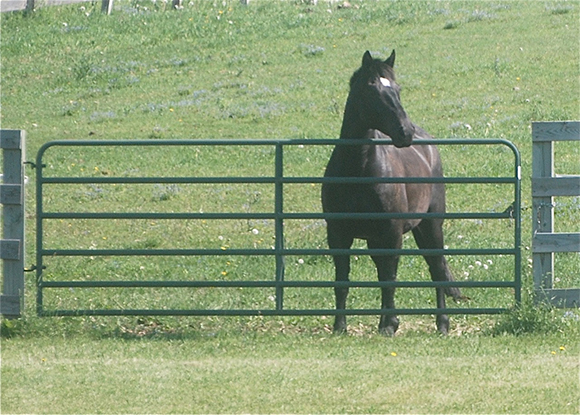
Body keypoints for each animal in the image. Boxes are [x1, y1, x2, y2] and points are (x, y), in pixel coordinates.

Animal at [322, 50, 462, 336]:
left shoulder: (392, 233)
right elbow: (342, 280)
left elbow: (389, 278)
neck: (358, 170)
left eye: (397, 89)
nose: (405, 132)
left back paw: (442, 324)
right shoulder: (338, 234)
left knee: (436, 269)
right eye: (371, 89)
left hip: (430, 226)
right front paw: (339, 326)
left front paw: (389, 325)